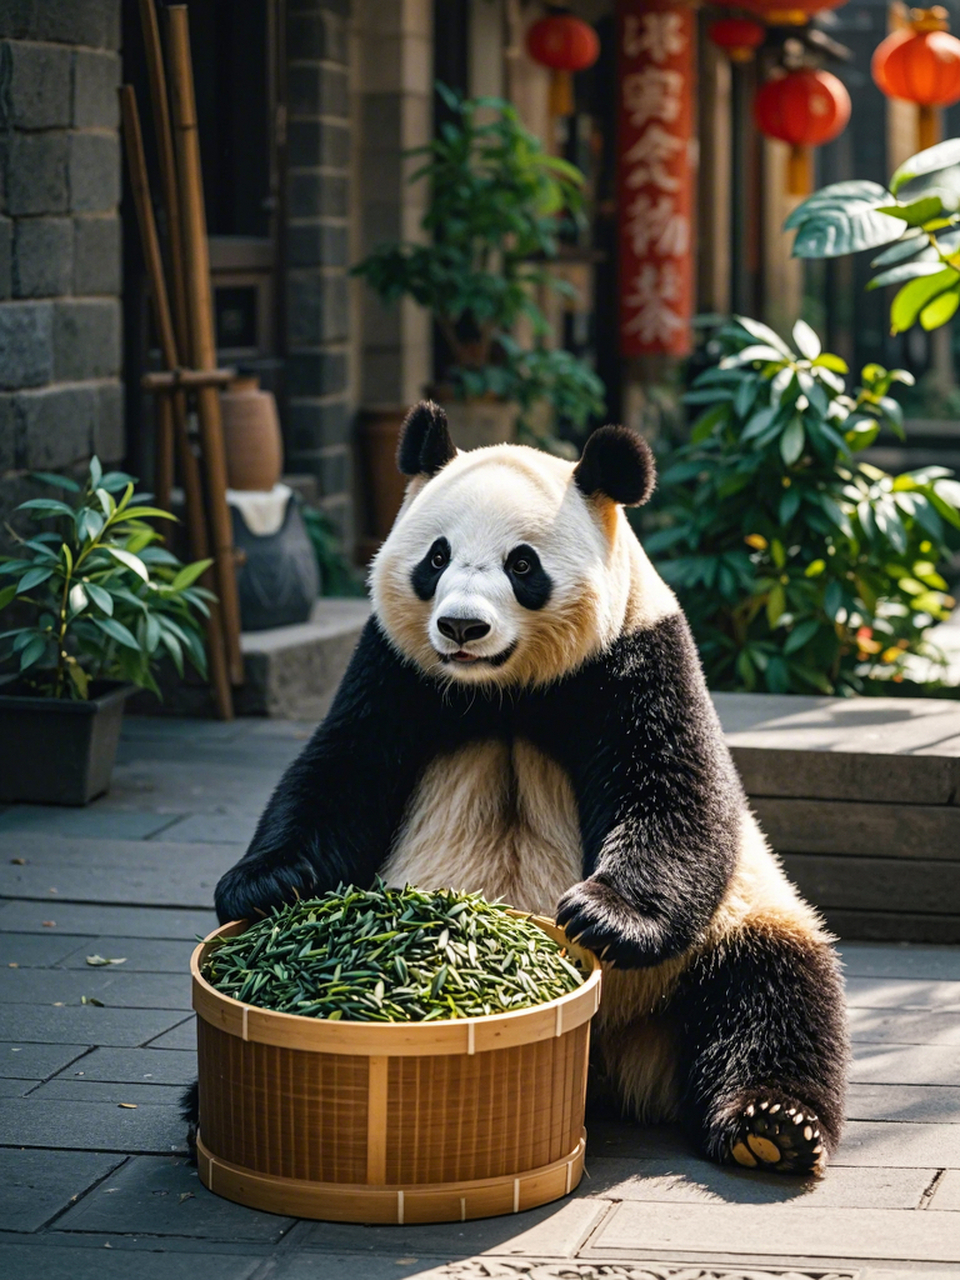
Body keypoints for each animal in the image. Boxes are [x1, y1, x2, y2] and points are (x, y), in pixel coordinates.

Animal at [204, 401, 849, 1177]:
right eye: (436, 557)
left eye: (522, 565)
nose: (461, 626)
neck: (501, 693)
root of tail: (610, 1063)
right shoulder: (392, 671)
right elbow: (335, 774)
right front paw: (264, 884)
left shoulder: (635, 659)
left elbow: (675, 794)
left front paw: (604, 917)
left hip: (724, 936)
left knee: (773, 989)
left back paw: (771, 1126)